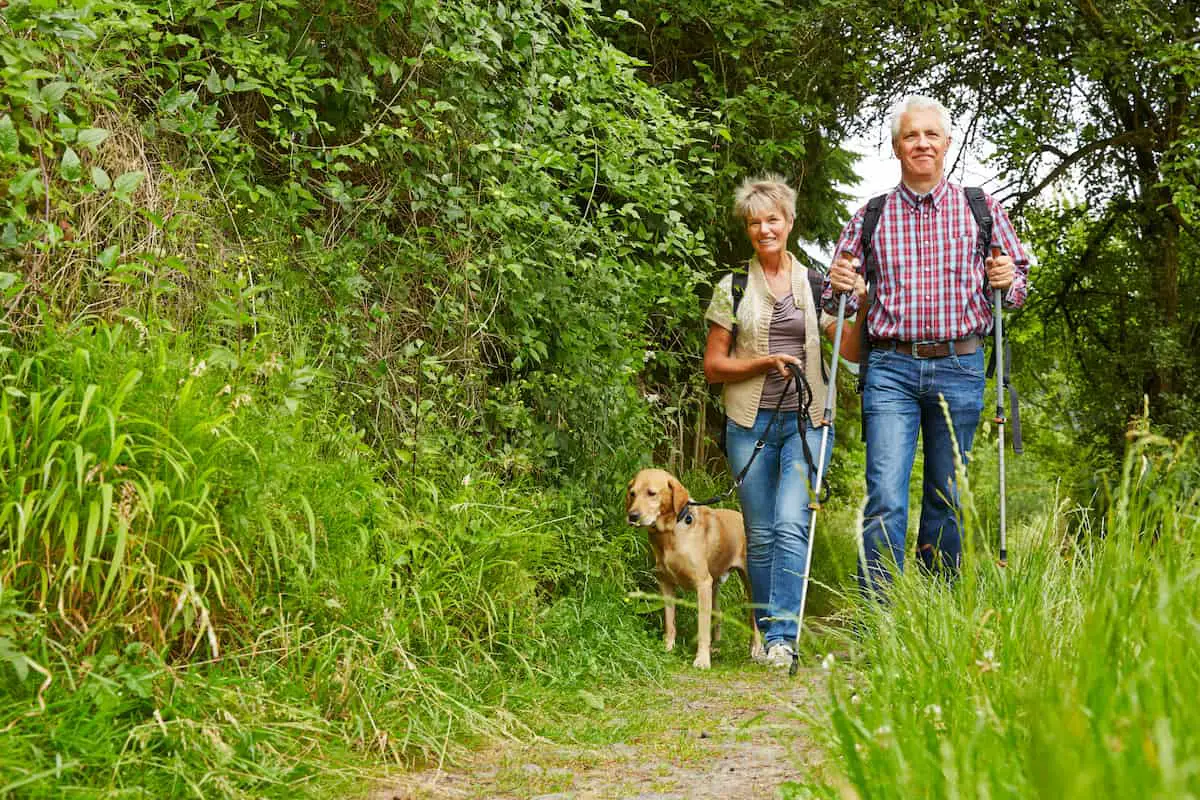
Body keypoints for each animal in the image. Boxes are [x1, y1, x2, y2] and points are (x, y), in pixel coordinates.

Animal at [624, 470, 763, 671]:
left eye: (652, 493)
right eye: (632, 493)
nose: (632, 516)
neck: (670, 533)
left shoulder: (702, 585)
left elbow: (702, 628)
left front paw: (702, 660)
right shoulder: (666, 584)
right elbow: (670, 623)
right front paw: (667, 648)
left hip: (749, 584)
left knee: (754, 619)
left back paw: (755, 649)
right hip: (714, 588)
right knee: (719, 615)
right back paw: (717, 647)